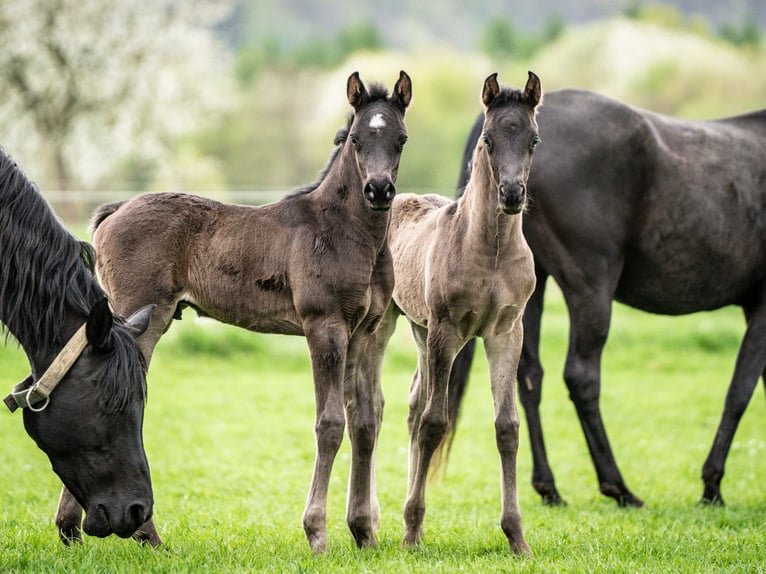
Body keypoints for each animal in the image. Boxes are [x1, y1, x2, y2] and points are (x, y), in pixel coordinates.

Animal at [52, 71, 413, 553]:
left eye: (401, 139)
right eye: (356, 139)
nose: (378, 190)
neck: (349, 232)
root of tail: (115, 210)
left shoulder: (366, 332)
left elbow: (365, 422)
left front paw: (364, 534)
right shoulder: (325, 326)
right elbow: (330, 423)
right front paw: (317, 534)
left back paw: (71, 528)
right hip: (140, 319)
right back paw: (144, 532)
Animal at [374, 72, 541, 555]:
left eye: (534, 139)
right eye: (487, 139)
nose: (512, 194)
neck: (491, 249)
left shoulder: (506, 332)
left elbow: (507, 427)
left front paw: (517, 537)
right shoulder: (446, 331)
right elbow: (435, 422)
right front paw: (412, 533)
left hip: (419, 328)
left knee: (413, 403)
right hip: (393, 324)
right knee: (400, 408)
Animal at [448, 89, 766, 508]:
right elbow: (740, 390)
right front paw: (711, 485)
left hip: (530, 289)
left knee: (527, 376)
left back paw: (550, 488)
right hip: (591, 290)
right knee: (581, 377)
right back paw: (618, 486)